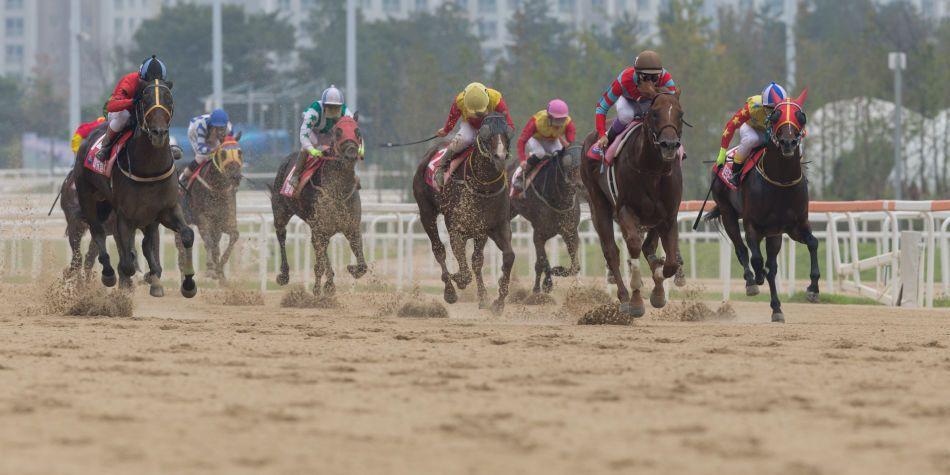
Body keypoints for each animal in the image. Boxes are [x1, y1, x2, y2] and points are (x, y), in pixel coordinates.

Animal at [74, 80, 197, 300]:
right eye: (145, 99)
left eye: (169, 98)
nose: (158, 133)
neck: (149, 169)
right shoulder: (125, 216)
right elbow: (127, 262)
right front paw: (132, 277)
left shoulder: (166, 210)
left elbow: (186, 235)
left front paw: (188, 284)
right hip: (88, 196)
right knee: (98, 231)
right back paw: (109, 274)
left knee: (146, 243)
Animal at [178, 134, 244, 282]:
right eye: (223, 153)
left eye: (240, 152)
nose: (236, 176)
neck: (217, 188)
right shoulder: (203, 219)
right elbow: (208, 242)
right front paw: (210, 269)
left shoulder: (224, 221)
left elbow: (233, 236)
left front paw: (220, 271)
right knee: (181, 250)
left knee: (215, 245)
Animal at [412, 111, 516, 312]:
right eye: (485, 133)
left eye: (508, 133)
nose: (500, 157)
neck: (483, 187)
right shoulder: (456, 228)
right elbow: (464, 268)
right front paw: (458, 280)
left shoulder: (494, 226)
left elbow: (505, 257)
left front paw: (497, 301)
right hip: (426, 212)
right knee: (439, 250)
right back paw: (450, 291)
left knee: (476, 260)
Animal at [510, 146, 584, 294]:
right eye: (569, 163)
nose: (582, 183)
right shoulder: (538, 234)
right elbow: (543, 261)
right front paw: (546, 284)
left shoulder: (570, 232)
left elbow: (575, 266)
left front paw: (557, 270)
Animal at [580, 91, 684, 318]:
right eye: (654, 114)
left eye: (680, 114)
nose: (669, 145)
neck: (652, 171)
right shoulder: (626, 210)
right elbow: (634, 245)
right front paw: (637, 300)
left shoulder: (668, 215)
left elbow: (669, 262)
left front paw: (659, 289)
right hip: (599, 205)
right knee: (612, 252)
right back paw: (624, 297)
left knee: (647, 247)